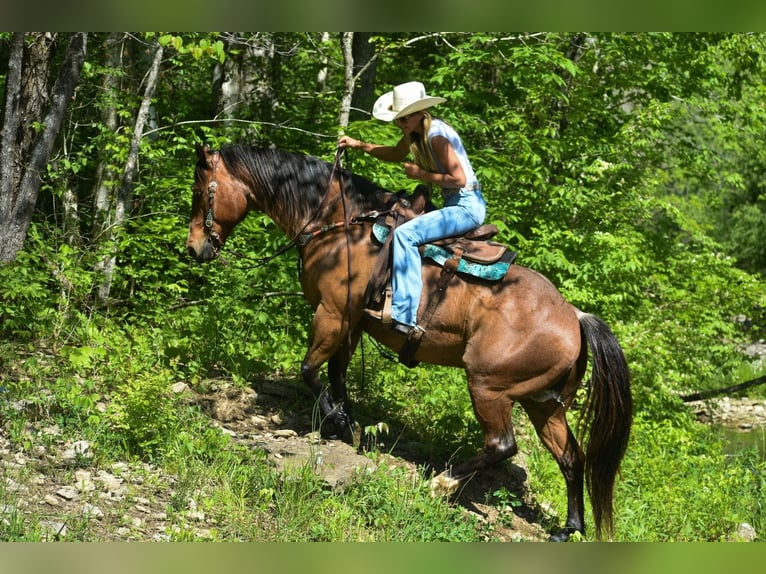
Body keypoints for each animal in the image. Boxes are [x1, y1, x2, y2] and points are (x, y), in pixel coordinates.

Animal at [186, 143, 636, 540]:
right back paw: (570, 528)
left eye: (199, 192)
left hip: (489, 387)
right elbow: (337, 373)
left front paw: (341, 423)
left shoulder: (332, 313)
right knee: (571, 457)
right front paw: (348, 427)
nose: (193, 249)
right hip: (543, 403)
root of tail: (574, 317)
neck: (339, 224)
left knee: (502, 444)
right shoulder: (352, 323)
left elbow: (311, 370)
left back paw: (442, 483)